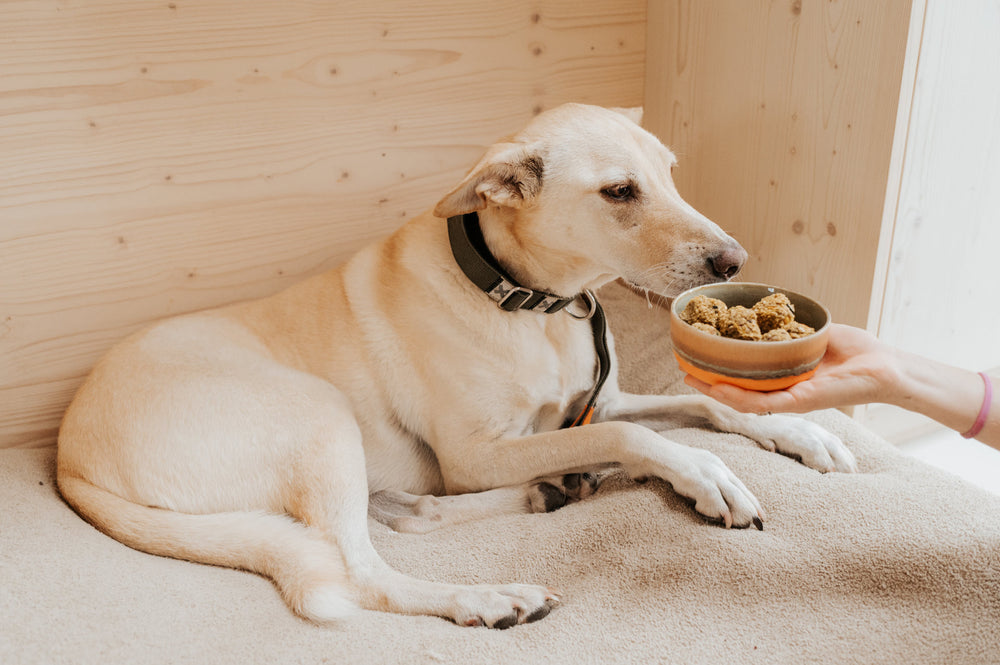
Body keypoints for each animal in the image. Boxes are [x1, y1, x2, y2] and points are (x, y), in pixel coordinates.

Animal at [54, 104, 856, 628]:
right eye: (619, 191)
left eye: (668, 172)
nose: (734, 261)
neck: (533, 304)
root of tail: (68, 457)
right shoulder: (477, 455)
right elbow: (636, 438)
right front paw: (706, 473)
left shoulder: (599, 401)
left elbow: (707, 405)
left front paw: (804, 433)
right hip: (321, 415)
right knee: (365, 568)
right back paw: (487, 594)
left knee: (404, 516)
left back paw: (544, 493)